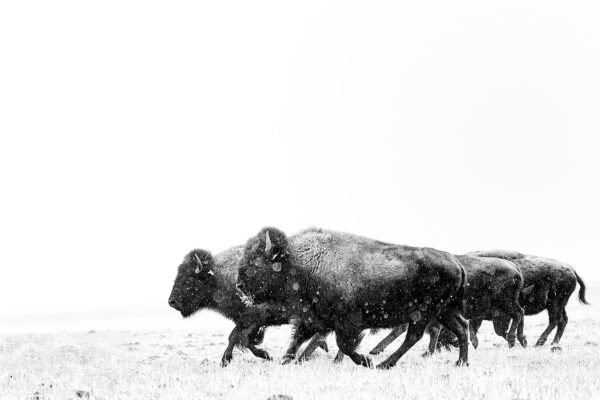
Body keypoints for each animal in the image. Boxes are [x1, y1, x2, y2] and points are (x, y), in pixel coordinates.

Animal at [168, 248, 328, 368]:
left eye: (189, 280)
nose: (171, 301)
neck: (218, 277)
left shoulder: (250, 318)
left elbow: (235, 337)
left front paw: (225, 360)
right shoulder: (248, 321)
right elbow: (245, 340)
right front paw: (265, 355)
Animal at [237, 228, 472, 368]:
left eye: (256, 262)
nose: (239, 285)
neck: (303, 263)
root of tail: (456, 263)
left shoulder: (347, 322)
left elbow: (345, 345)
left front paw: (365, 360)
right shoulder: (312, 318)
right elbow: (298, 339)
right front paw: (284, 360)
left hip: (423, 313)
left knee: (413, 336)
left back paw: (384, 363)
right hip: (445, 311)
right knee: (461, 327)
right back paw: (461, 362)